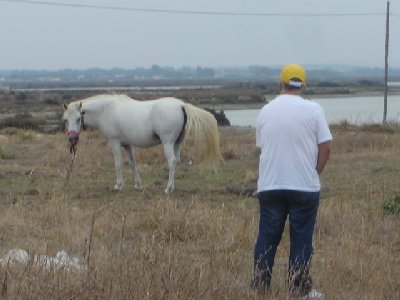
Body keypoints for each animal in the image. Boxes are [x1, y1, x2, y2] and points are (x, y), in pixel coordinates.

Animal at [61, 94, 222, 193]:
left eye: (78, 118)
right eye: (66, 120)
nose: (72, 139)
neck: (106, 110)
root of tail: (181, 105)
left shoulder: (115, 142)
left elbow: (118, 164)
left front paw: (118, 185)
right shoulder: (127, 145)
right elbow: (133, 164)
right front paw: (138, 185)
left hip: (168, 143)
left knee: (172, 161)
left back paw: (168, 189)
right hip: (177, 144)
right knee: (176, 162)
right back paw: (172, 187)